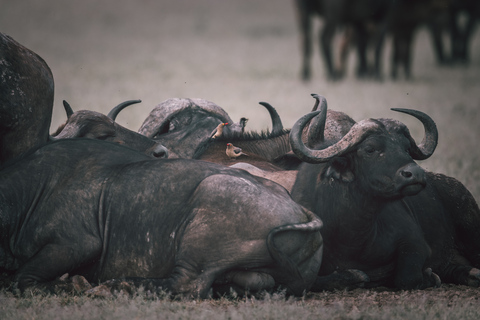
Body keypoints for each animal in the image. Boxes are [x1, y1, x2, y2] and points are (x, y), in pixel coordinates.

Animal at [0, 139, 324, 298]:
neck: (31, 190)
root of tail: (300, 211)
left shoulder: (77, 243)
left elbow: (22, 278)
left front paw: (70, 285)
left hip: (209, 199)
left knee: (187, 285)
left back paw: (115, 286)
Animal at [288, 101, 480, 288]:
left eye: (407, 148)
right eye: (370, 149)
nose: (416, 174)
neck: (353, 235)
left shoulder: (416, 244)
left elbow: (406, 278)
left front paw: (429, 277)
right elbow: (316, 282)